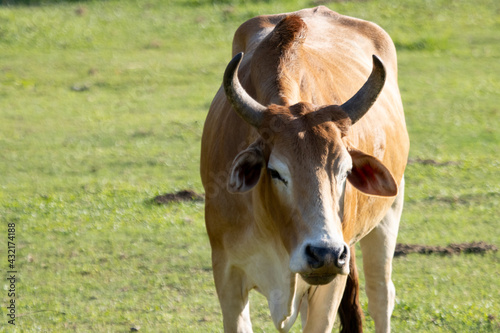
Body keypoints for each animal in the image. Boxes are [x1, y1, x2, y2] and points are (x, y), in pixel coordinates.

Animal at [200, 5, 410, 332]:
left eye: (345, 171)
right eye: (275, 172)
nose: (326, 253)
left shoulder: (328, 289)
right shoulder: (227, 276)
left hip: (388, 214)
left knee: (381, 295)